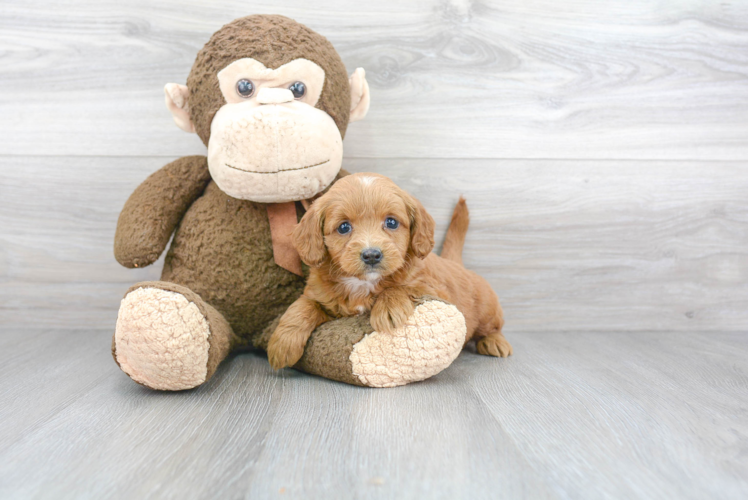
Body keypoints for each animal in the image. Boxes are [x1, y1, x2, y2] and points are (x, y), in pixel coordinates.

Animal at [268, 174, 516, 370]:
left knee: (493, 326)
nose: (371, 255)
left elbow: (402, 287)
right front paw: (282, 344)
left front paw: (388, 307)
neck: (363, 283)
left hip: (487, 308)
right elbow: (302, 306)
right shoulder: (320, 295)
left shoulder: (434, 290)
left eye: (391, 222)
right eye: (344, 227)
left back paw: (495, 342)